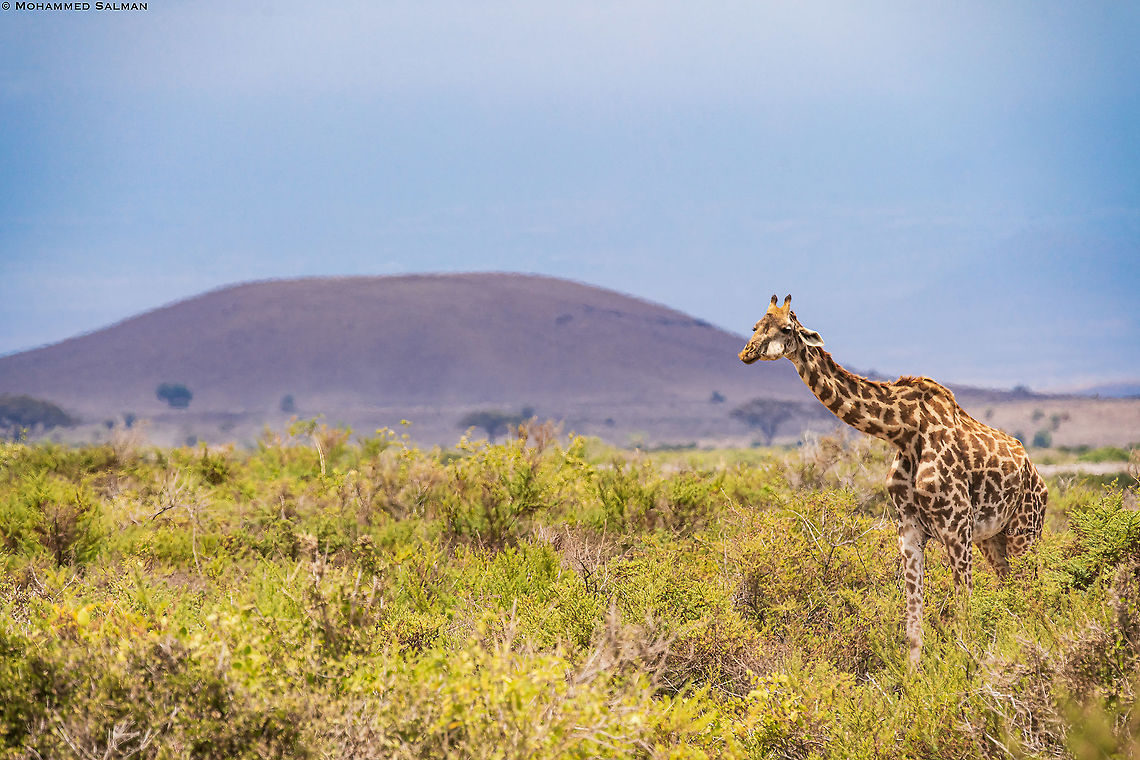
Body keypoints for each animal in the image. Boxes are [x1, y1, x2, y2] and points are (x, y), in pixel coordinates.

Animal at [739, 294, 1047, 667]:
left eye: (786, 328)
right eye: (756, 325)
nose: (746, 353)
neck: (906, 431)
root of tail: (1038, 478)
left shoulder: (956, 527)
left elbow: (964, 608)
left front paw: (965, 666)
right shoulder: (910, 529)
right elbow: (913, 618)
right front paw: (914, 674)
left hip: (1024, 532)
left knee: (1031, 590)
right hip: (993, 539)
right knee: (1012, 587)